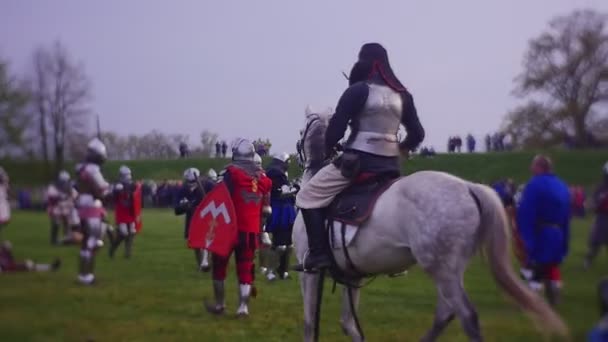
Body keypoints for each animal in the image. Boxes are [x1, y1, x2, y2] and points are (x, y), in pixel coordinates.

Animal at [292, 111, 568, 340]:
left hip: (441, 269)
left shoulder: (310, 273)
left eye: (301, 130)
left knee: (466, 316)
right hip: (449, 270)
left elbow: (309, 324)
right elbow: (349, 324)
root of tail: (468, 187)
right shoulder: (352, 276)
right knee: (445, 313)